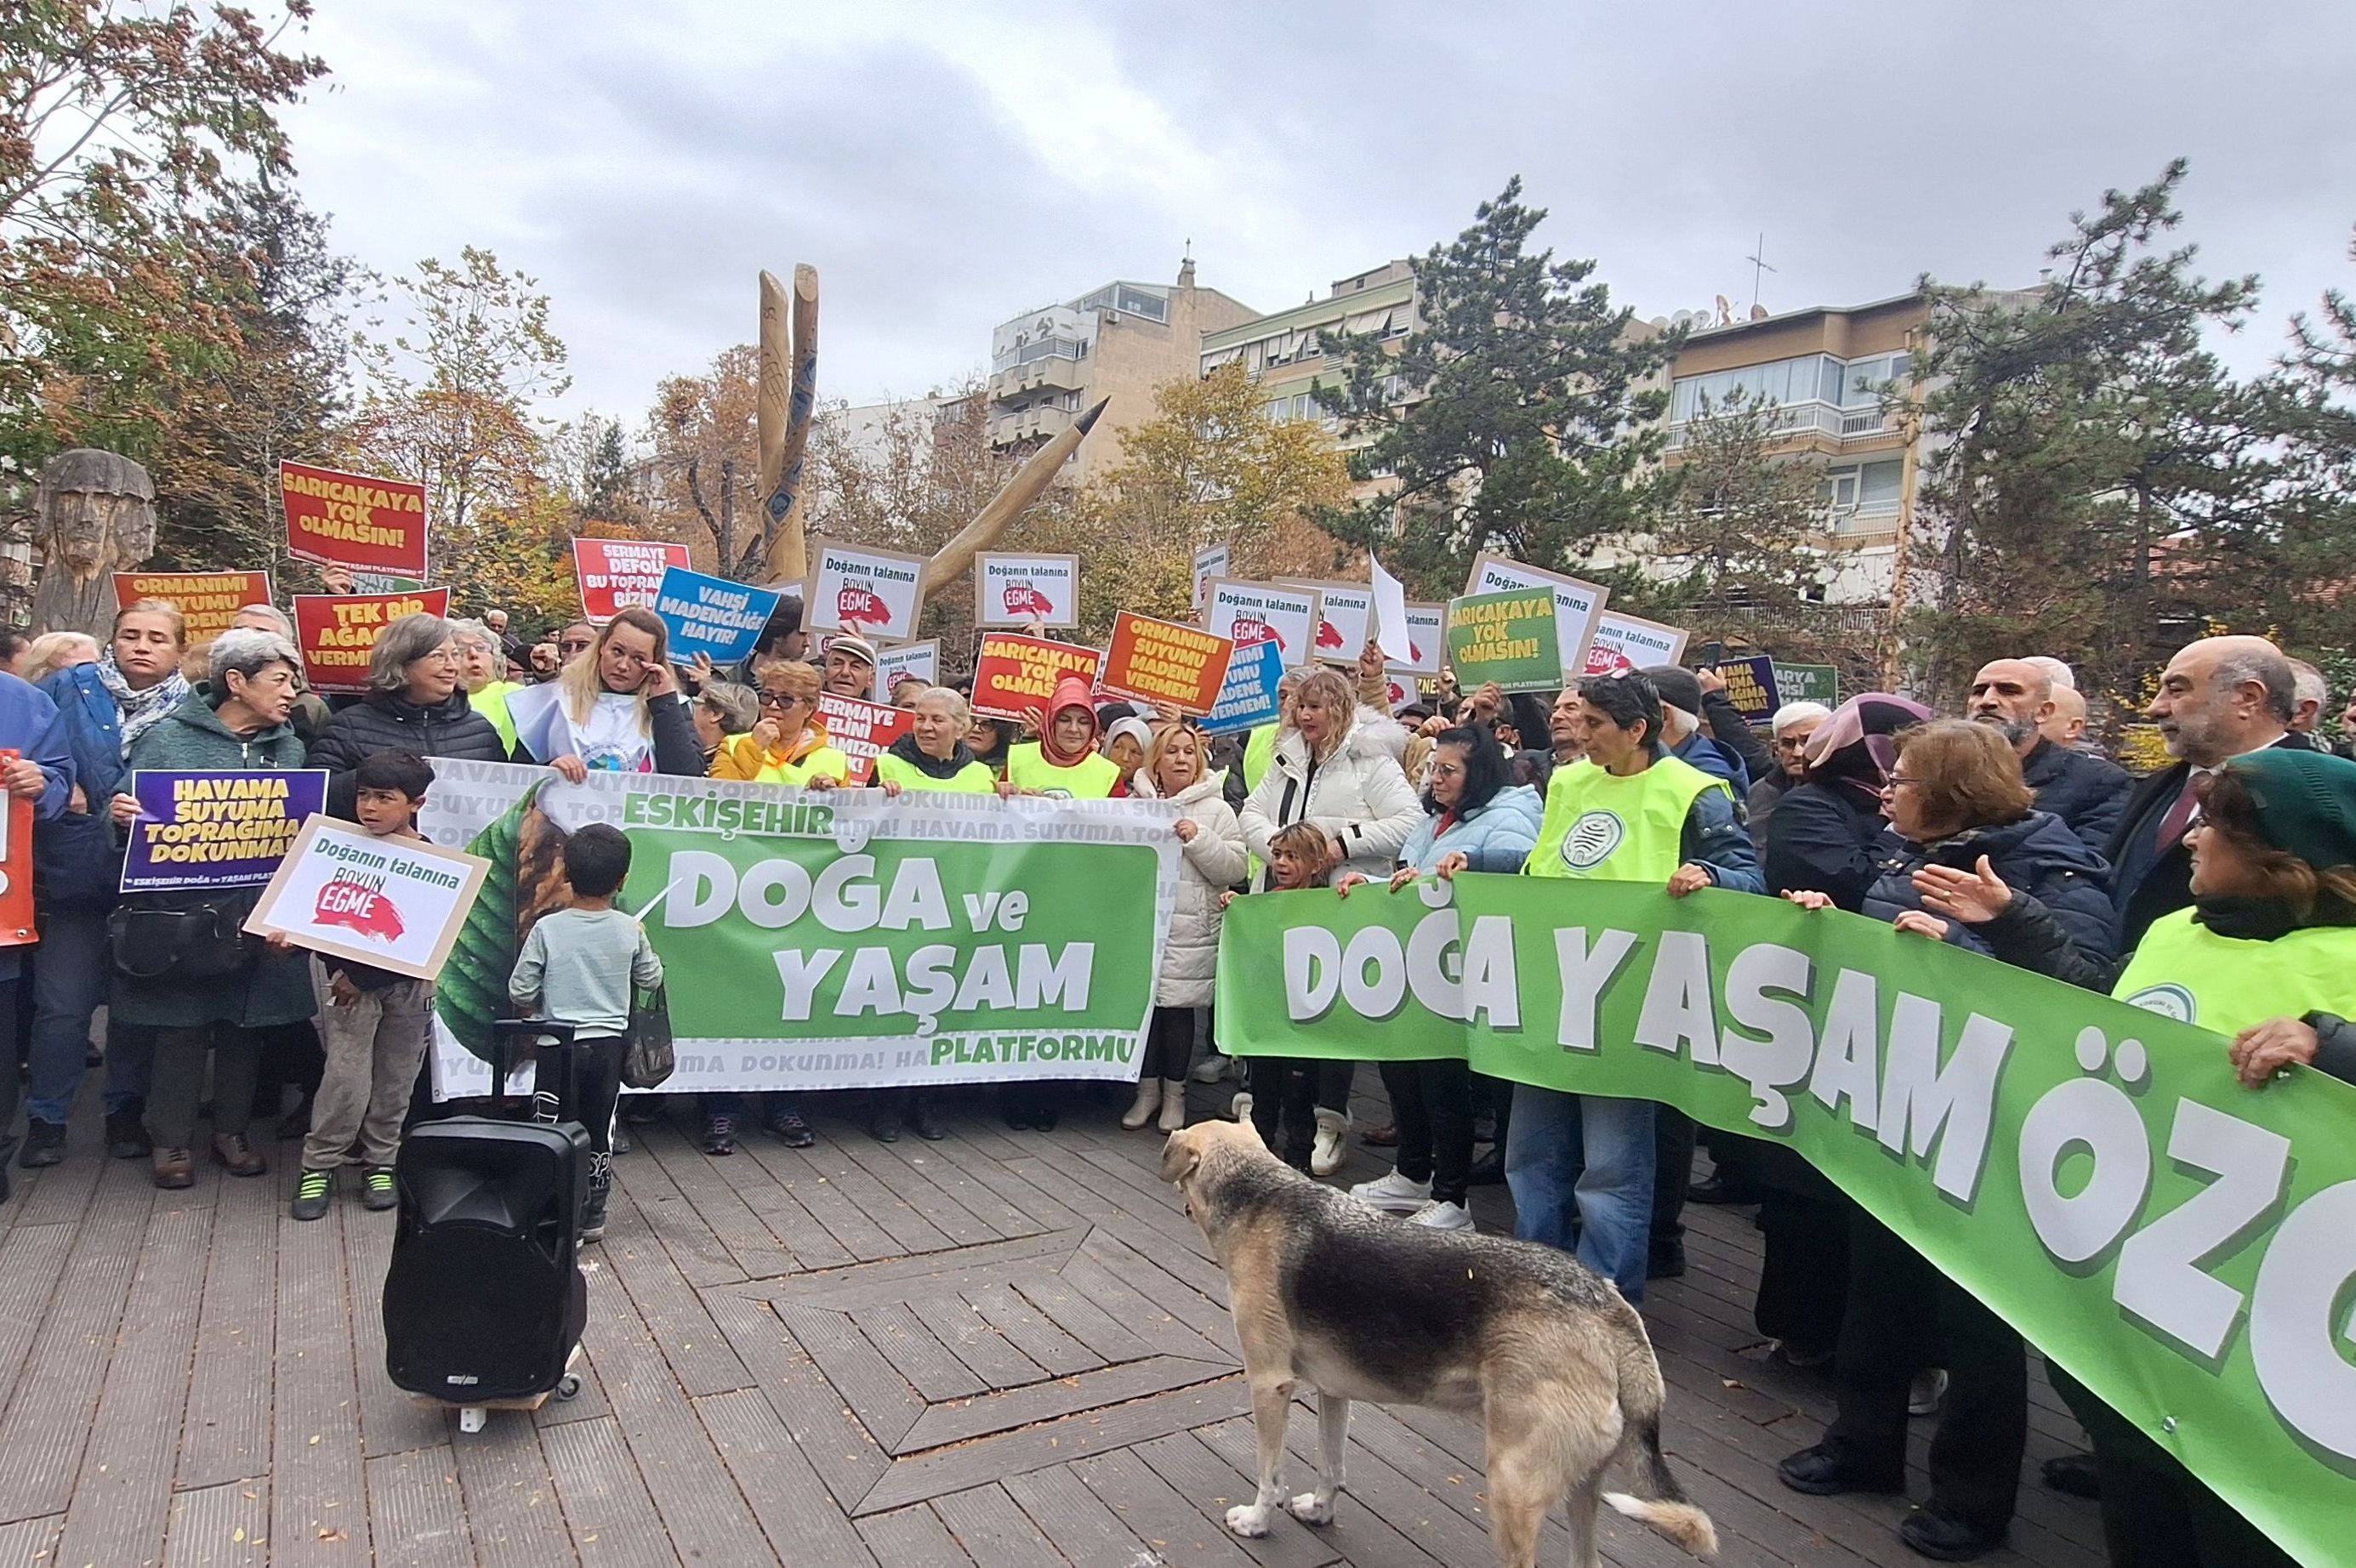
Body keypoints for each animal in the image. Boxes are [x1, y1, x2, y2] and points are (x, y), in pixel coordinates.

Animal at [1168, 1116, 1724, 1554]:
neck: (1262, 1196)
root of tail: (1609, 1306)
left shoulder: (1269, 1384)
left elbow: (1270, 1475)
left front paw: (1256, 1521)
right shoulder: (1333, 1391)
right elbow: (1332, 1466)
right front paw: (1321, 1512)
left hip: (1512, 1488)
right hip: (1581, 1496)